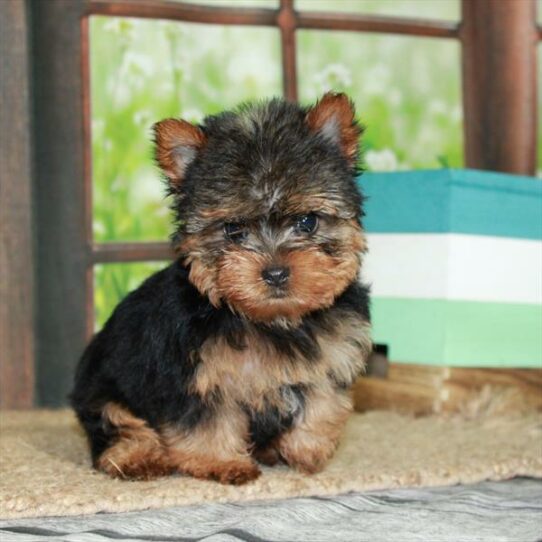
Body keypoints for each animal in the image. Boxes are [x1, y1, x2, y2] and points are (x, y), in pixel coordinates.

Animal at [71, 92, 374, 484]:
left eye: (307, 222)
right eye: (233, 230)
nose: (276, 272)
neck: (272, 320)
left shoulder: (332, 356)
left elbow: (323, 404)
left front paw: (308, 451)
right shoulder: (196, 375)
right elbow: (207, 422)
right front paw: (222, 462)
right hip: (102, 389)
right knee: (118, 425)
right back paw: (140, 457)